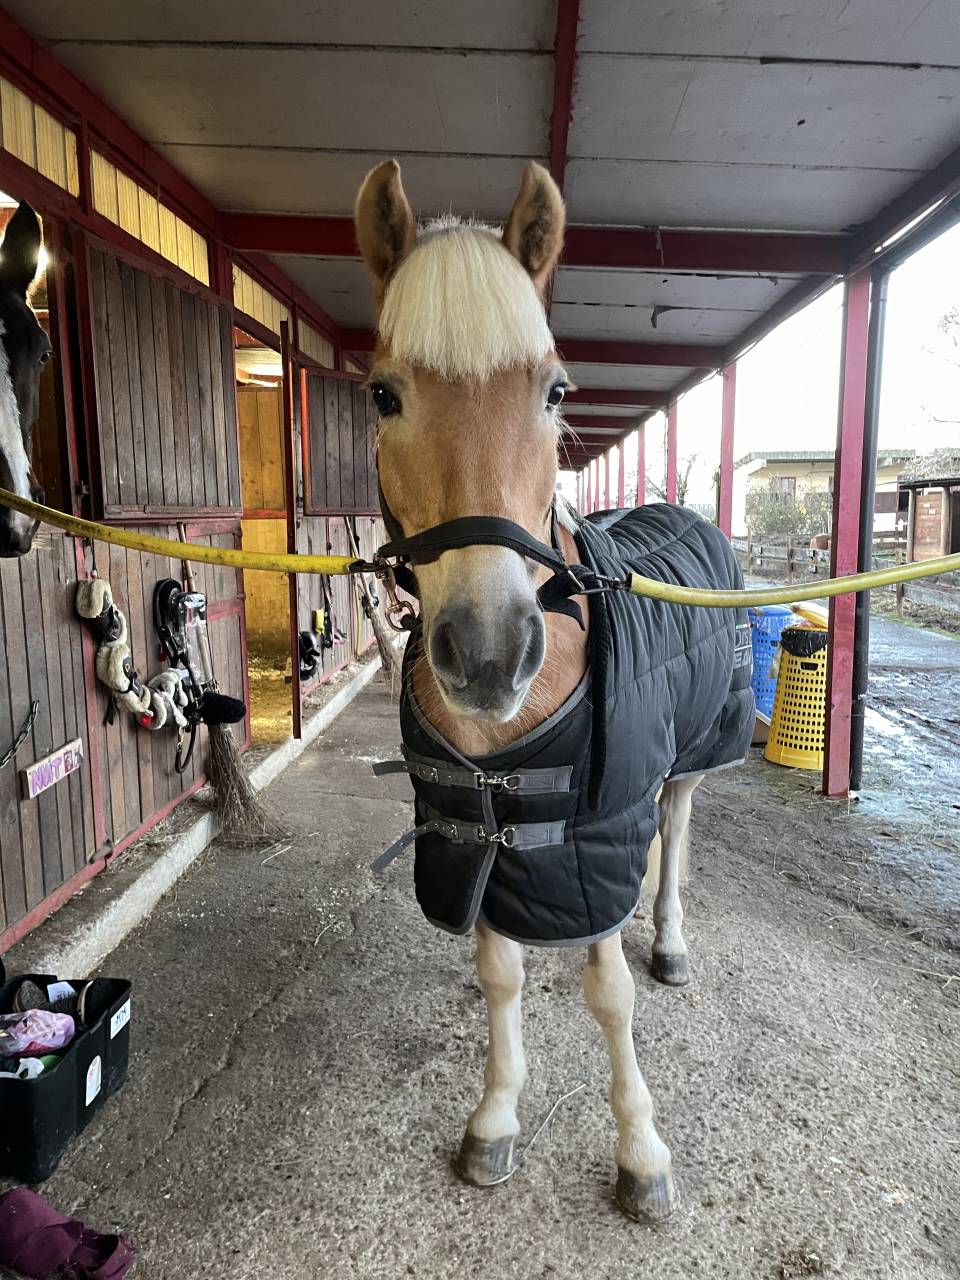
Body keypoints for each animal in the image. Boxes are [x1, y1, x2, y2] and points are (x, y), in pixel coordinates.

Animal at [355, 160, 753, 1224]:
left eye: (556, 390)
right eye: (382, 395)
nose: (490, 653)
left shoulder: (594, 829)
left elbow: (609, 993)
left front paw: (642, 1154)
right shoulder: (483, 829)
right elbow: (497, 971)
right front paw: (495, 1118)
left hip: (690, 760)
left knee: (675, 833)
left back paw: (669, 939)